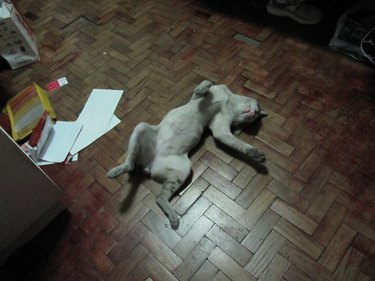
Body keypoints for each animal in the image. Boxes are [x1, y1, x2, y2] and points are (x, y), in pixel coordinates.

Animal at [107, 80, 268, 229]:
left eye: (247, 123)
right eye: (256, 112)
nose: (252, 114)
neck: (229, 102)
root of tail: (149, 165)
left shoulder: (220, 130)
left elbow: (241, 145)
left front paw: (257, 155)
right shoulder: (200, 98)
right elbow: (206, 83)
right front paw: (206, 87)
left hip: (182, 170)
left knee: (159, 196)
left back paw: (173, 219)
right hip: (141, 127)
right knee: (130, 164)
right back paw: (113, 172)